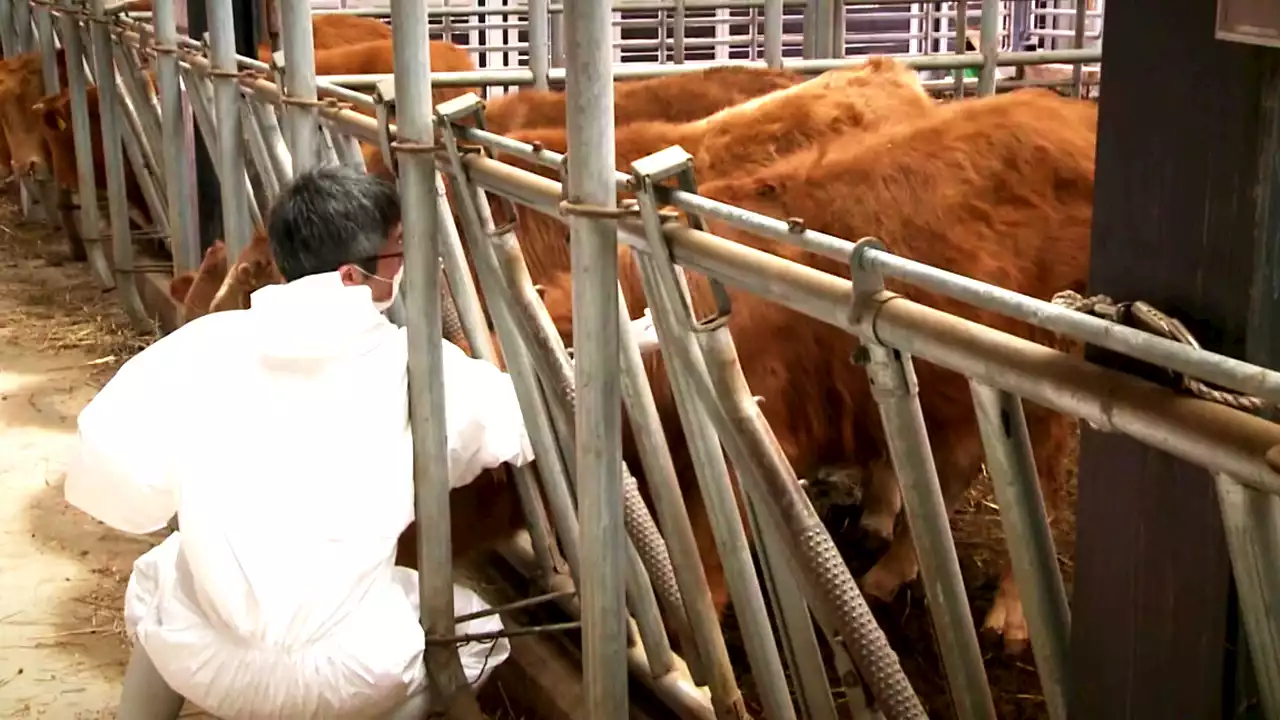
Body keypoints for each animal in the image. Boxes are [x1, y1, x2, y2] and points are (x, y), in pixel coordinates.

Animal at [529, 85, 1100, 650]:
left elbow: (706, 564)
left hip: (1040, 377)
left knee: (1041, 481)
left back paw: (1012, 614)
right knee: (954, 467)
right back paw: (889, 571)